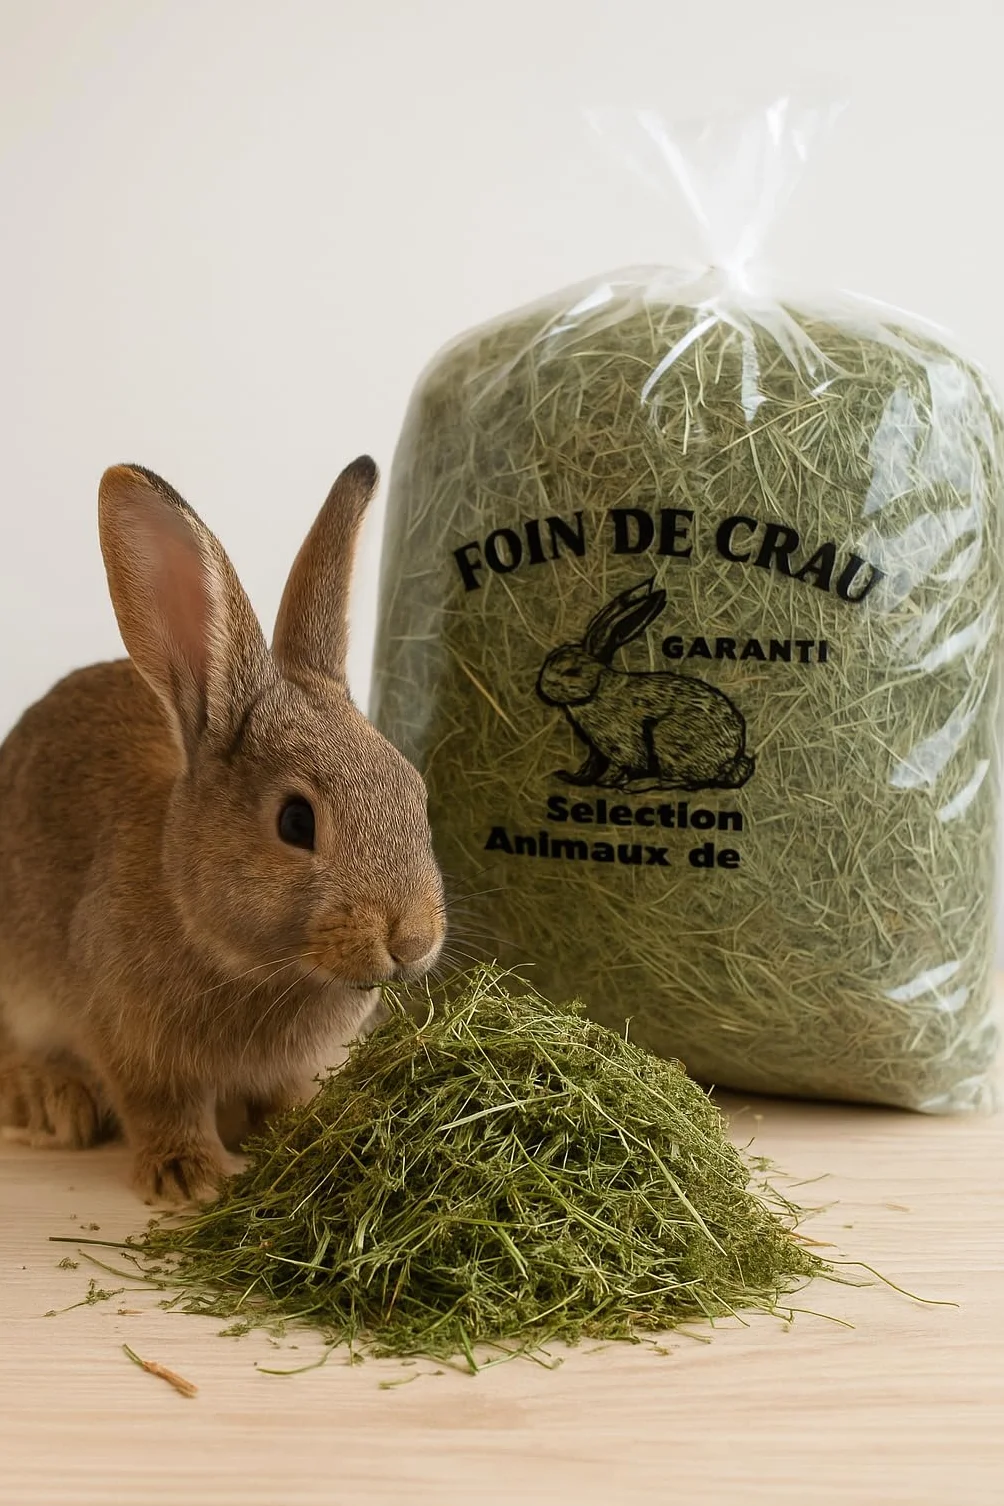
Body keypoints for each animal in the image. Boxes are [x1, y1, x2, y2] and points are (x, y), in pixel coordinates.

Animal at [0, 456, 445, 1203]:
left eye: (415, 792)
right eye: (296, 821)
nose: (411, 941)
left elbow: (287, 1102)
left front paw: (307, 1139)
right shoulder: (136, 1050)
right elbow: (163, 1108)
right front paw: (192, 1175)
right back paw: (51, 1101)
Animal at [536, 577, 755, 793]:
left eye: (571, 671)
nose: (542, 687)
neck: (598, 690)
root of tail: (731, 759)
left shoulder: (622, 746)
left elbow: (621, 765)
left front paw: (607, 782)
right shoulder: (597, 751)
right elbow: (590, 767)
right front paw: (569, 777)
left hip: (667, 741)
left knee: (682, 780)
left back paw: (639, 785)